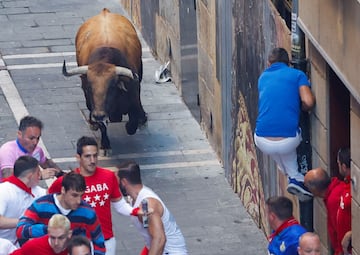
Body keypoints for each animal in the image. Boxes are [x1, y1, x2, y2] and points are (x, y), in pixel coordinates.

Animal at [62, 7, 147, 154]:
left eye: (111, 87)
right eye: (89, 87)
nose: (98, 115)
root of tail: (105, 12)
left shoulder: (133, 93)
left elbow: (133, 120)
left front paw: (138, 121)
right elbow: (103, 126)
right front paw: (105, 144)